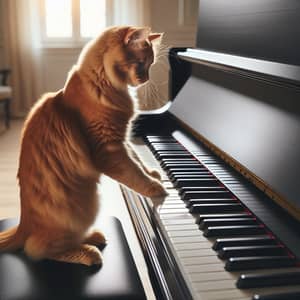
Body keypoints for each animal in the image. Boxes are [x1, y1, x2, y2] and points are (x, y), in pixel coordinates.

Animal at [0, 25, 166, 264]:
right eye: (141, 62)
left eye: (150, 64)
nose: (145, 79)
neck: (104, 86)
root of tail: (23, 225)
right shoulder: (109, 151)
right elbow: (134, 173)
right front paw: (156, 187)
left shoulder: (123, 141)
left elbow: (137, 161)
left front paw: (153, 173)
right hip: (84, 208)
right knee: (38, 250)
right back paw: (90, 252)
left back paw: (94, 237)